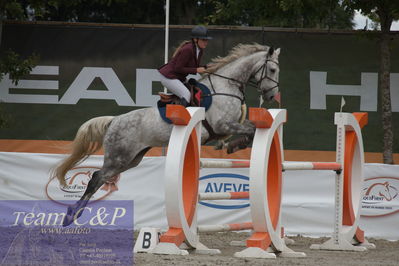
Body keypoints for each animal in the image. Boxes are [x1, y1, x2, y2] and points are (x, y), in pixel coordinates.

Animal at [56, 42, 282, 225]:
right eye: (272, 69)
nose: (272, 96)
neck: (227, 85)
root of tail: (114, 120)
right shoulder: (223, 125)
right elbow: (250, 130)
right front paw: (236, 145)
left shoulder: (226, 127)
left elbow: (251, 129)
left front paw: (233, 145)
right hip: (119, 157)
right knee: (96, 177)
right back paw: (71, 216)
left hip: (132, 159)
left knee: (101, 178)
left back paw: (74, 214)